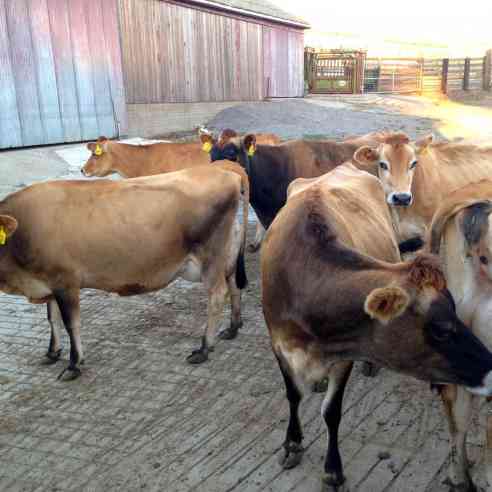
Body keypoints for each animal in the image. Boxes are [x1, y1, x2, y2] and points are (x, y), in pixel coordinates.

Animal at [0, 163, 250, 378]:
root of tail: (229, 172)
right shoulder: (48, 281)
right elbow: (52, 320)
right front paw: (52, 352)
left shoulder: (65, 281)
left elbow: (71, 323)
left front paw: (74, 363)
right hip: (228, 252)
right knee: (234, 284)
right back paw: (233, 327)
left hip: (211, 257)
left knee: (217, 295)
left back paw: (204, 348)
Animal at [260, 164, 492, 488]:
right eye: (441, 329)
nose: (490, 367)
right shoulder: (278, 343)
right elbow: (293, 395)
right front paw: (292, 444)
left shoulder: (346, 351)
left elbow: (331, 411)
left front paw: (332, 468)